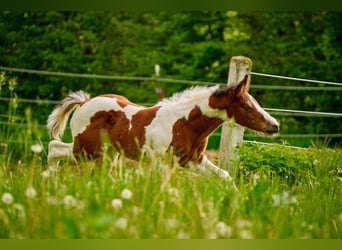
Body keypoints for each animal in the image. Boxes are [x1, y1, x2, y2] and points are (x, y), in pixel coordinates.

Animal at [46, 74, 280, 184]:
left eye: (255, 102)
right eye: (247, 106)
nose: (274, 126)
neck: (185, 123)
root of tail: (85, 102)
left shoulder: (193, 160)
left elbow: (225, 176)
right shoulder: (162, 161)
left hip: (107, 154)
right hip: (86, 149)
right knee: (54, 148)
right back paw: (50, 180)